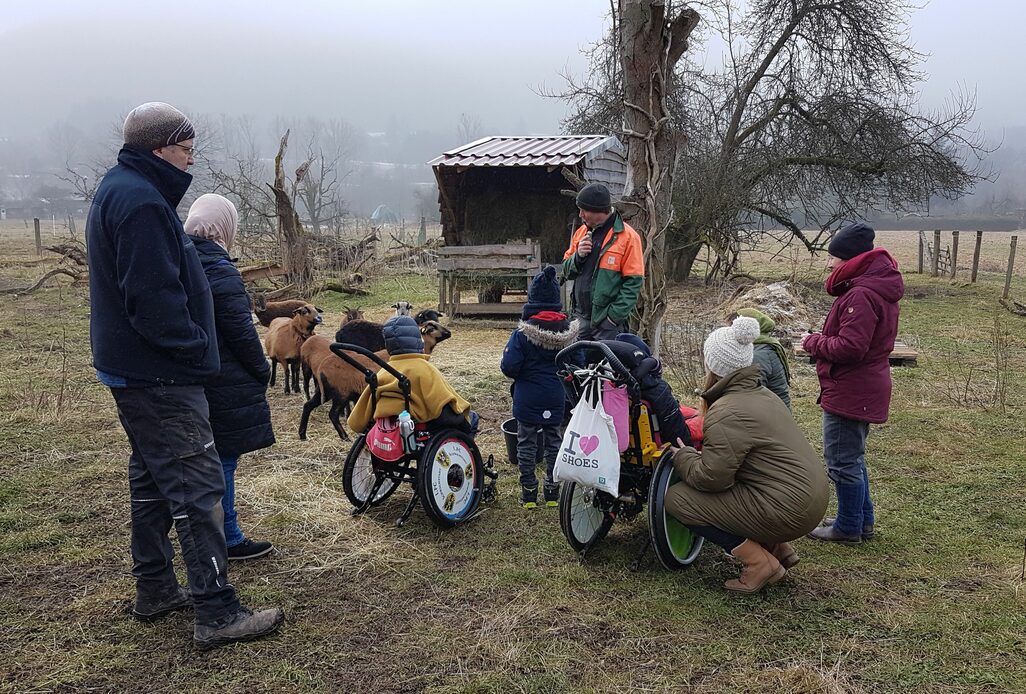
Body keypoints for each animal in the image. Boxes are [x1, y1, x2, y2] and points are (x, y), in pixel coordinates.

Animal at [299, 318, 455, 439]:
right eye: (432, 327)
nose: (449, 332)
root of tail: (321, 368)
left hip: (325, 391)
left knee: (307, 406)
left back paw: (302, 434)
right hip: (340, 393)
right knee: (333, 414)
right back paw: (345, 436)